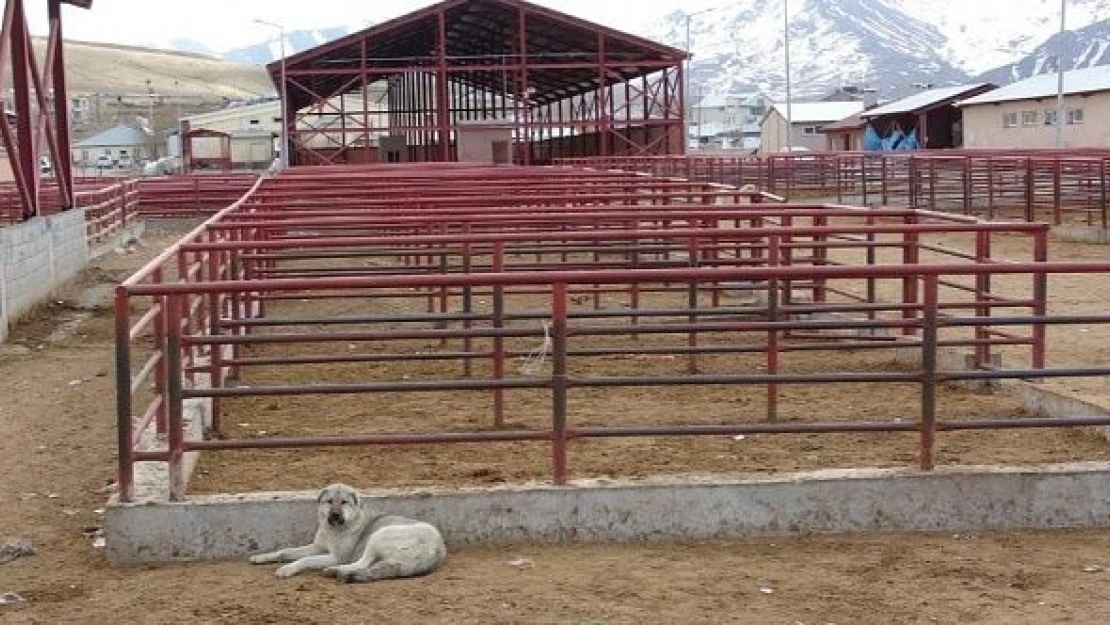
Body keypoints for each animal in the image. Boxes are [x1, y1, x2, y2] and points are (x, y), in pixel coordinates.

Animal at [248, 486, 446, 586]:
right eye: (329, 501)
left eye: (344, 502)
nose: (335, 515)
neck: (335, 529)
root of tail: (438, 549)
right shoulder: (317, 547)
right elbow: (285, 551)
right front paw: (262, 557)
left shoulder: (336, 556)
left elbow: (304, 560)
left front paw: (288, 569)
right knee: (367, 566)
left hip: (379, 535)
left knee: (362, 563)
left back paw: (335, 571)